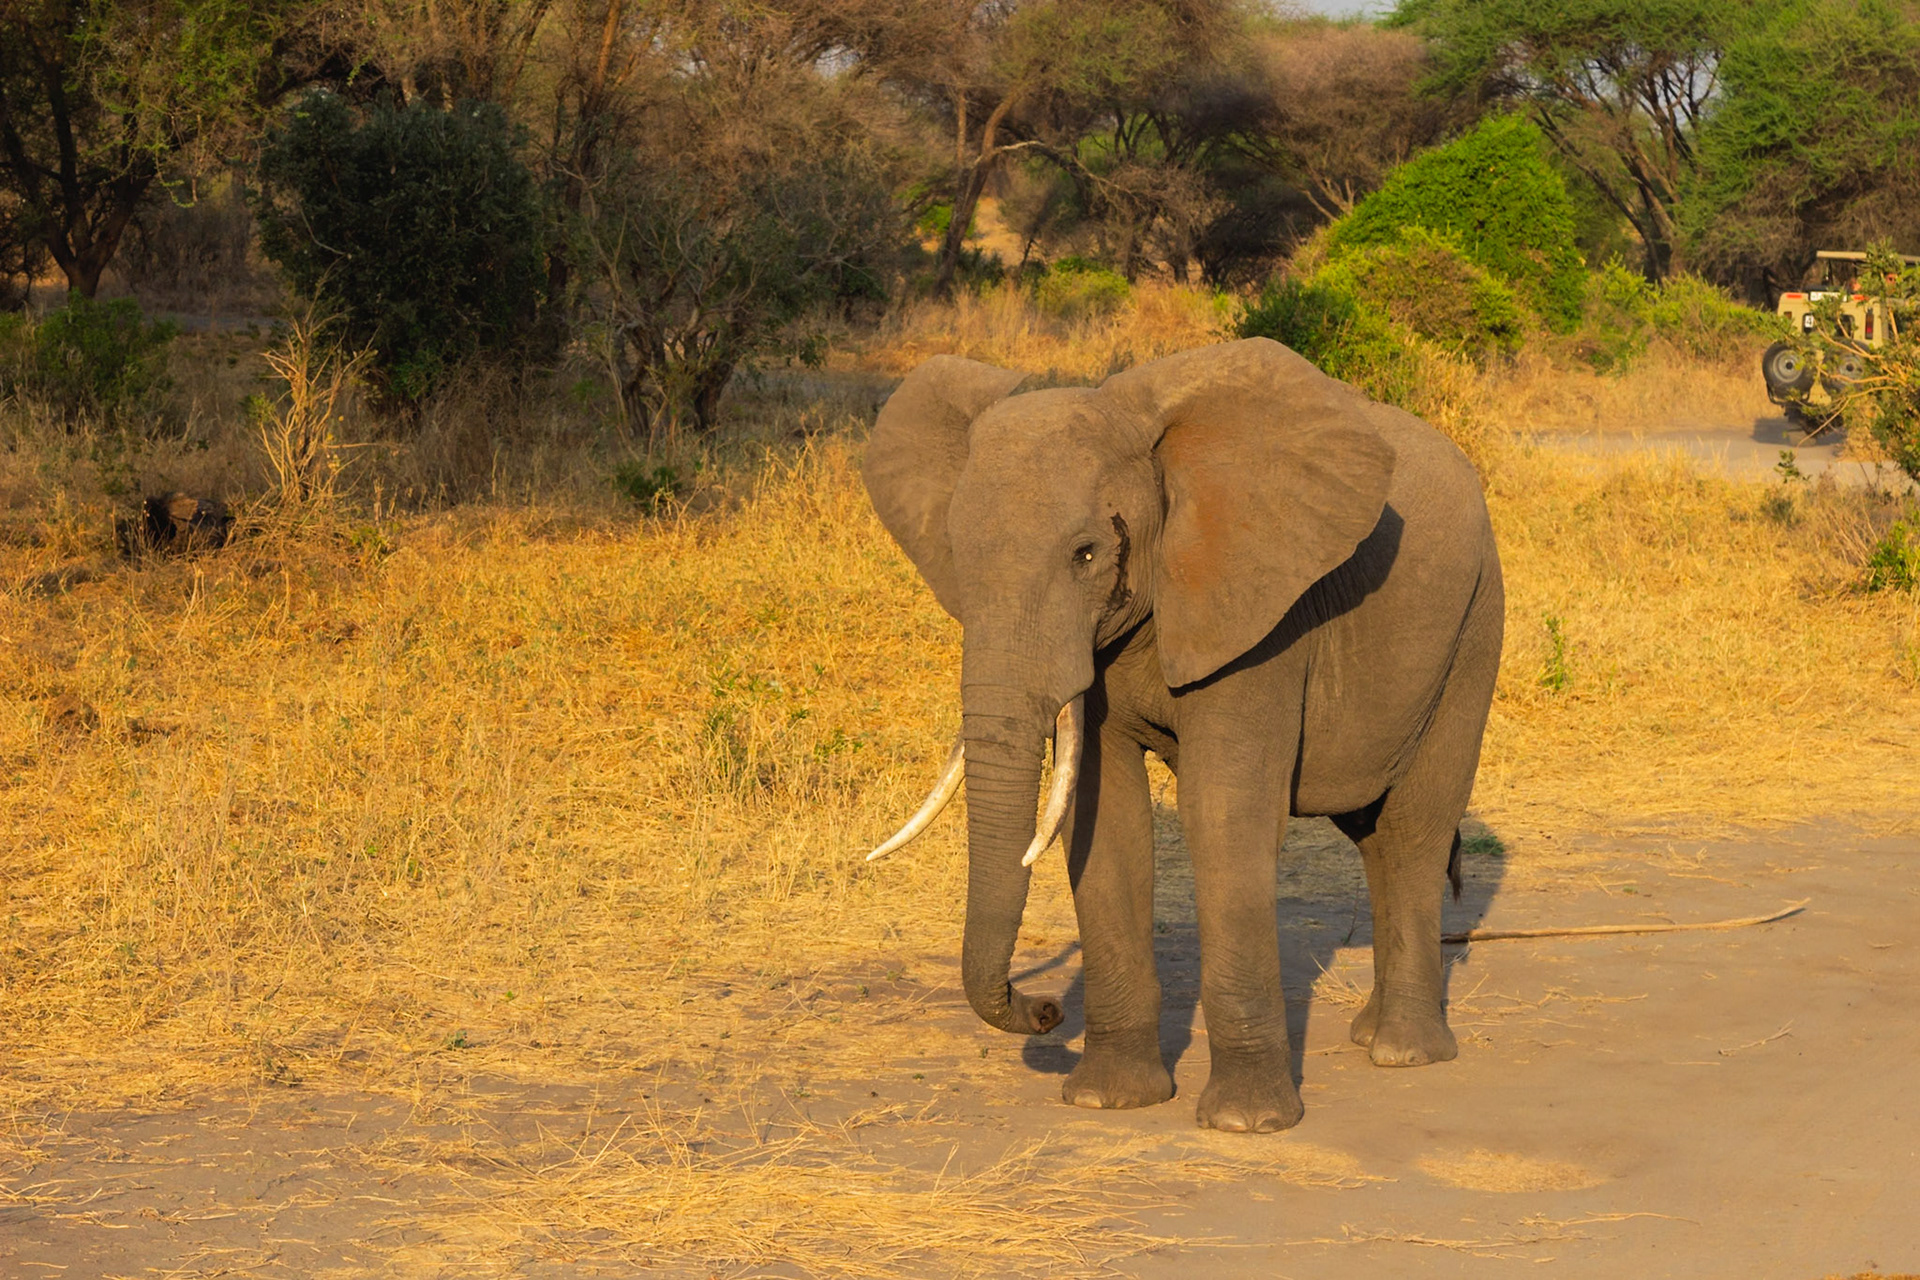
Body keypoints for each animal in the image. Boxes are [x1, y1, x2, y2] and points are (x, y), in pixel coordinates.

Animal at [862, 337, 1503, 1132]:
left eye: (1086, 554)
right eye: (955, 550)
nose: (1043, 1011)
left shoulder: (1262, 616)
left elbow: (1222, 814)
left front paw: (1246, 1123)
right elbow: (1105, 823)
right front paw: (1109, 1099)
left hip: (1474, 626)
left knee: (1415, 828)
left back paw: (1403, 1052)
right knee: (1376, 836)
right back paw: (1369, 1034)